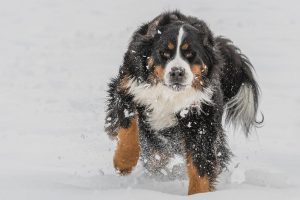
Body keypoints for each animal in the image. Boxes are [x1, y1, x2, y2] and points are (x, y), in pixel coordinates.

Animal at [104, 11, 262, 195]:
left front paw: (199, 195)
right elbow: (128, 128)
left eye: (191, 54)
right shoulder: (127, 89)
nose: (177, 72)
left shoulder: (200, 118)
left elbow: (200, 164)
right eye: (164, 53)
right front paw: (123, 162)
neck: (169, 95)